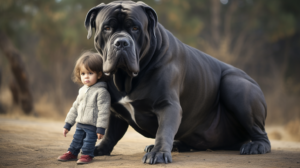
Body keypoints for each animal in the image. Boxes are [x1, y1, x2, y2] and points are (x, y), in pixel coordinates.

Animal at [84, 0, 270, 164]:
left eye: (135, 28)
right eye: (107, 28)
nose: (122, 42)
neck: (126, 78)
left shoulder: (167, 105)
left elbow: (163, 130)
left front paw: (158, 153)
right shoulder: (114, 110)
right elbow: (110, 133)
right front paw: (99, 148)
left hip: (235, 85)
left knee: (260, 133)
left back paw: (256, 146)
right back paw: (175, 145)